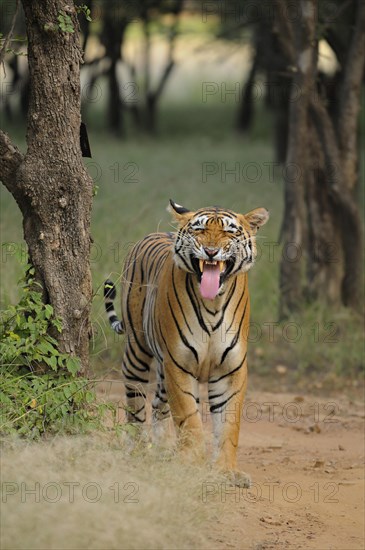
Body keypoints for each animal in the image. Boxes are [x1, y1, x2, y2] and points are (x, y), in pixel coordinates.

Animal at [103, 202, 268, 488]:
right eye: (199, 229)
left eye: (230, 232)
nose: (211, 251)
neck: (213, 303)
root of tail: (155, 233)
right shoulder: (179, 365)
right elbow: (189, 419)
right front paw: (192, 465)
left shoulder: (230, 370)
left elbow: (228, 425)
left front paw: (226, 471)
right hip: (137, 353)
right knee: (136, 405)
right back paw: (137, 450)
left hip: (162, 371)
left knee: (158, 406)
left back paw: (162, 450)